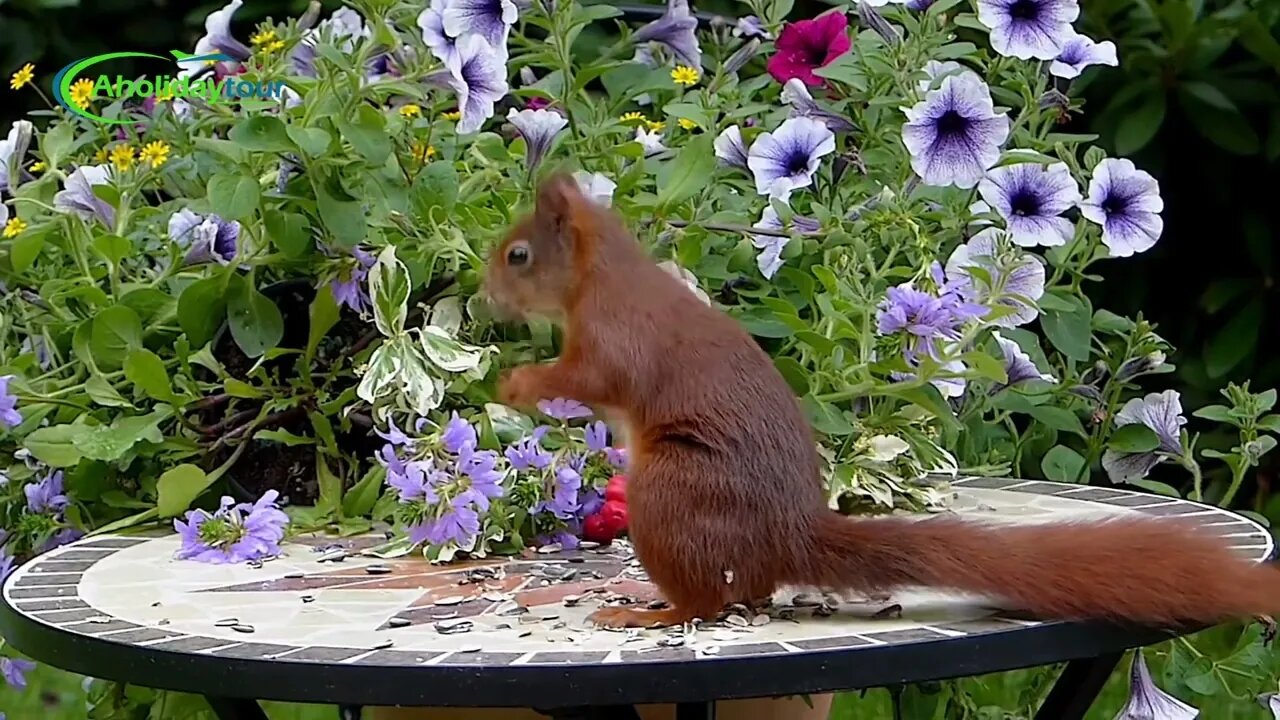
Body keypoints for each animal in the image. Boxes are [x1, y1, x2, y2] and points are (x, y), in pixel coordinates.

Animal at [481, 172, 1280, 627]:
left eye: (519, 255)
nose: (484, 292)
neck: (602, 278)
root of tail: (791, 537)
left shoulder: (617, 342)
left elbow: (590, 381)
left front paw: (519, 384)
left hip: (673, 492)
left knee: (709, 598)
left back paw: (647, 614)